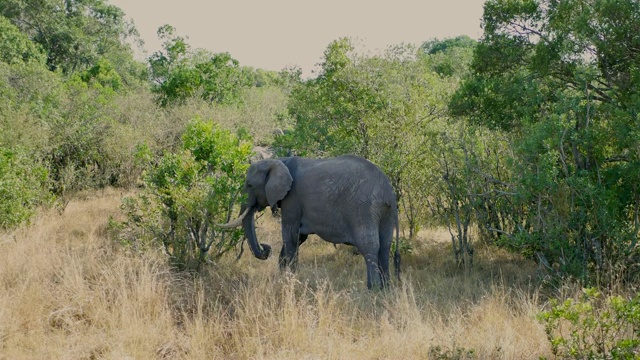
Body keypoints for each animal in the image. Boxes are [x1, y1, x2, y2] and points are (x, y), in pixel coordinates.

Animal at [221, 155, 400, 290]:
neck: (280, 161)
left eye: (249, 185)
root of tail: (388, 192)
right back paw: (386, 288)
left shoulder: (292, 199)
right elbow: (298, 237)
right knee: (385, 246)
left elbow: (290, 234)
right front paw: (283, 275)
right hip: (386, 213)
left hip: (363, 209)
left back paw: (372, 289)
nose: (265, 247)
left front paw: (290, 278)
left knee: (369, 246)